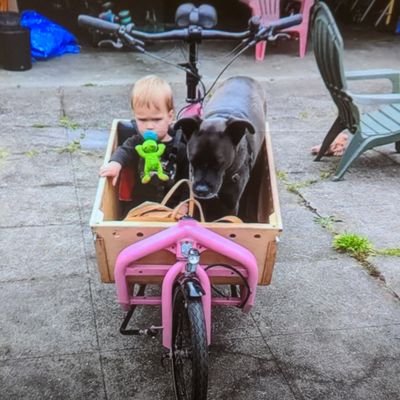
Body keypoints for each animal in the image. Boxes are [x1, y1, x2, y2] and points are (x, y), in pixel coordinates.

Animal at [174, 76, 266, 220]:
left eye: (220, 162)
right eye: (192, 161)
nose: (201, 190)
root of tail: (244, 77)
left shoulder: (231, 205)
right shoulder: (199, 201)